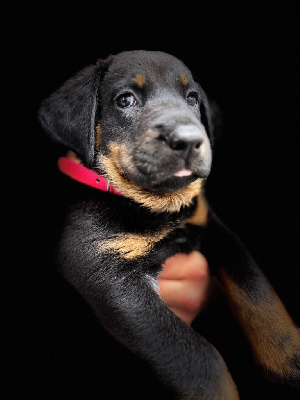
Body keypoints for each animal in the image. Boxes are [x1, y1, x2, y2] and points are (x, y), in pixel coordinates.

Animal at [38, 50, 298, 400]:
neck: (156, 208)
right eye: (125, 100)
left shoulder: (212, 226)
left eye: (192, 99)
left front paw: (290, 357)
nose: (188, 141)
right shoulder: (104, 271)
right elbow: (197, 356)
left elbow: (256, 288)